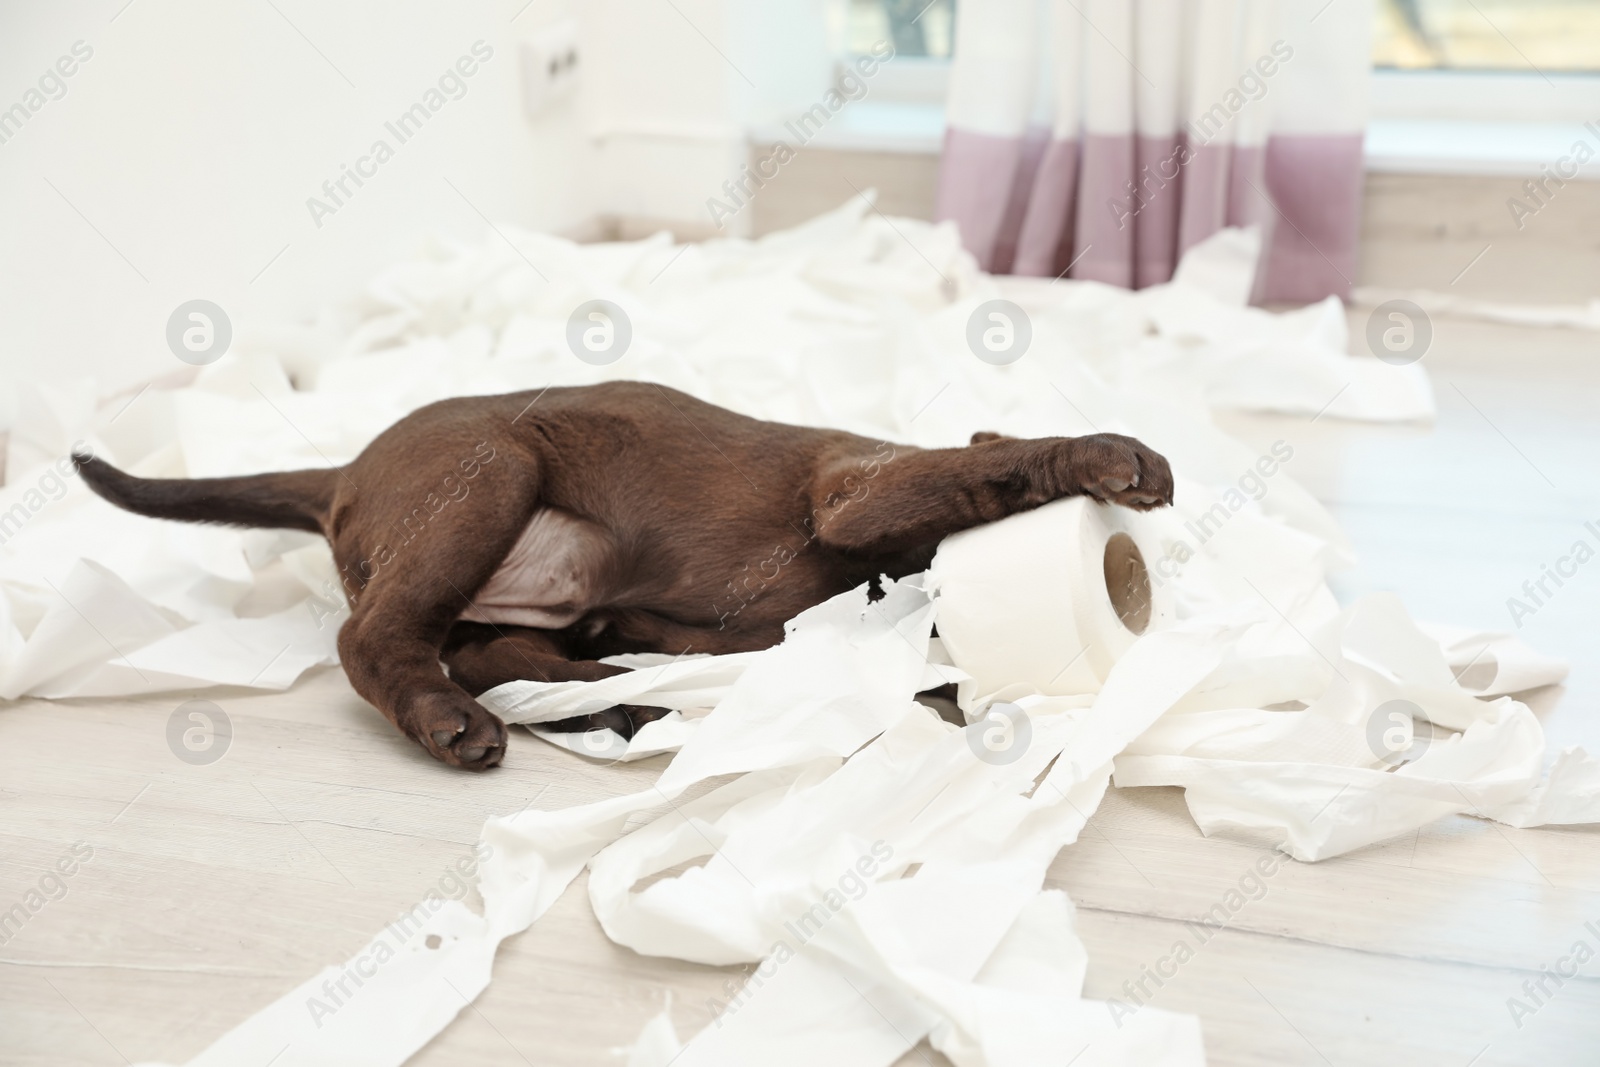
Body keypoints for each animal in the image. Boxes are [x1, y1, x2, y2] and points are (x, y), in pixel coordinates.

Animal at [75, 382, 1171, 767]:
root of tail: (341, 472)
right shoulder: (855, 493)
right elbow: (991, 461)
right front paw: (1109, 455)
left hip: (537, 587)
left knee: (484, 649)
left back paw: (617, 698)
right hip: (490, 473)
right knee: (373, 641)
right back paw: (455, 722)